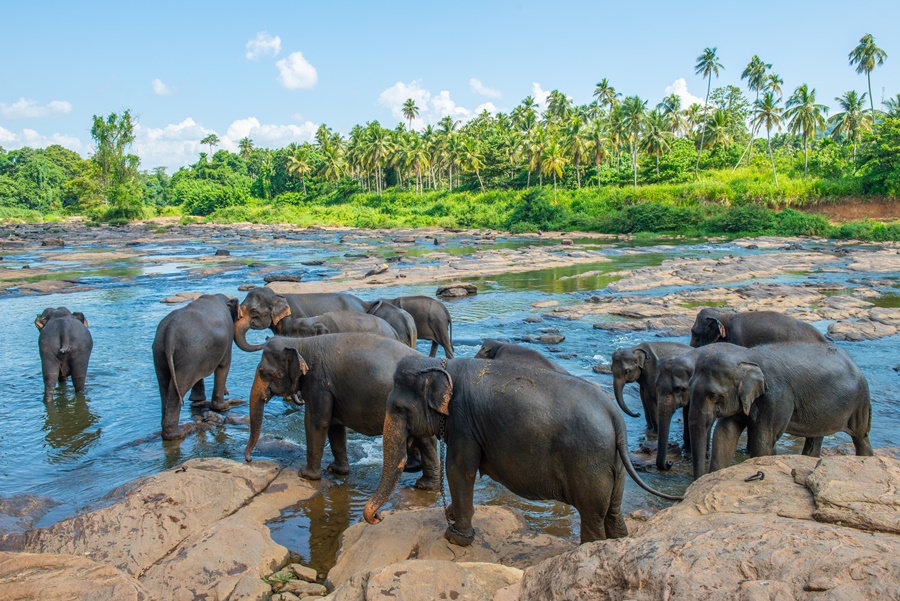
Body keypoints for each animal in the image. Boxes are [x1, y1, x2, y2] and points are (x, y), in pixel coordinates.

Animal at [153, 294, 240, 440]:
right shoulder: (228, 337)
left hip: (160, 352)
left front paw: (198, 400)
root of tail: (170, 330)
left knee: (164, 385)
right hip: (190, 355)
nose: (227, 392)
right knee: (179, 387)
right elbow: (224, 365)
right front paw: (223, 407)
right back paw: (176, 434)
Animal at [245, 334, 440, 490]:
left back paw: (423, 483)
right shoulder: (332, 391)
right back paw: (423, 481)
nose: (249, 459)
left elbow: (316, 422)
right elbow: (335, 425)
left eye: (263, 372)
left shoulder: (318, 383)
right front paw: (336, 470)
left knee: (424, 439)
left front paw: (305, 475)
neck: (300, 342)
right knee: (426, 439)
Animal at [363, 357, 682, 546]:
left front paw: (454, 537)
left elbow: (458, 470)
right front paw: (452, 517)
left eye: (399, 409)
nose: (377, 519)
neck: (443, 365)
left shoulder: (464, 422)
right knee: (613, 514)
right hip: (614, 463)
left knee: (592, 517)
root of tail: (614, 415)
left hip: (589, 460)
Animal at [689, 342, 874, 480]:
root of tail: (853, 362)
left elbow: (762, 441)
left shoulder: (777, 397)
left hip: (860, 402)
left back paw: (866, 459)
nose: (687, 491)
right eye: (689, 386)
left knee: (860, 436)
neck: (746, 357)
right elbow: (725, 434)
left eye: (713, 395)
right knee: (816, 437)